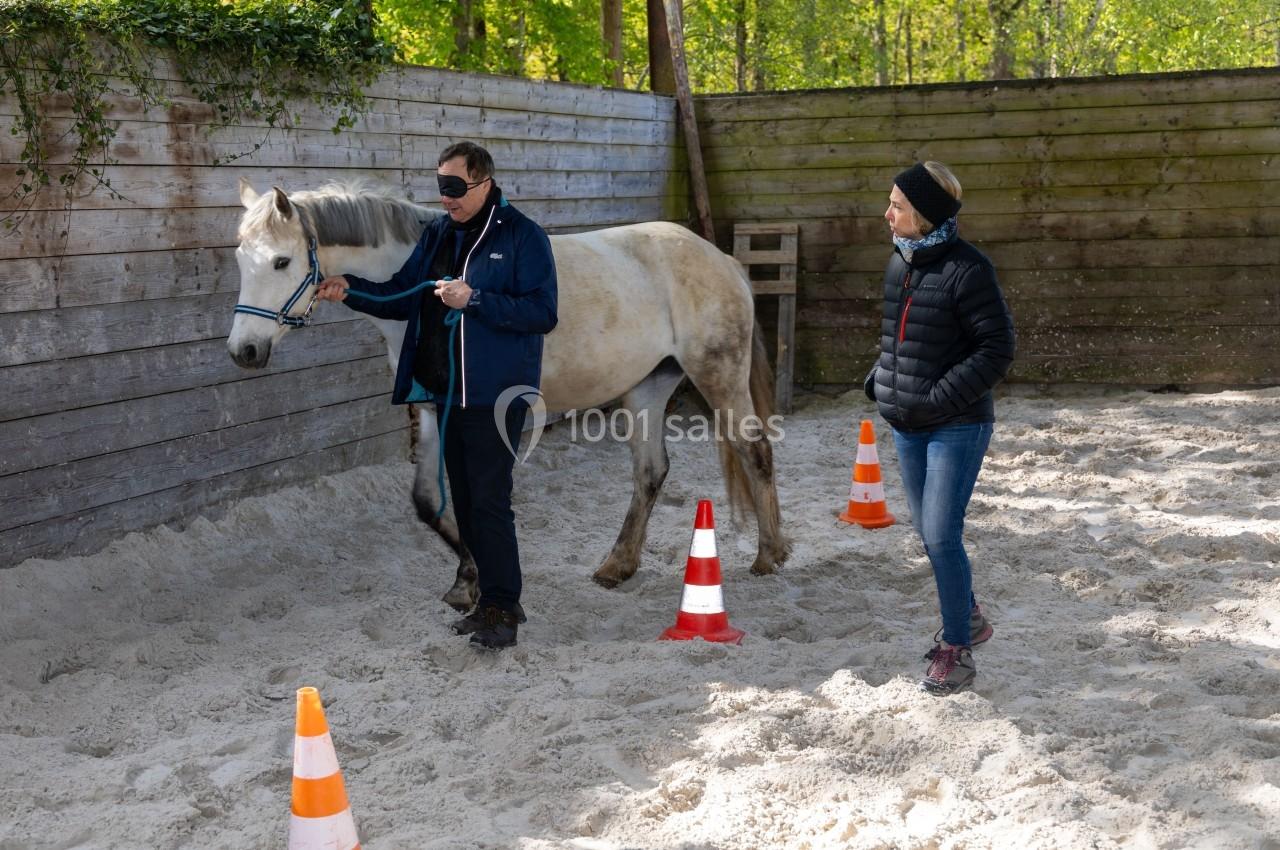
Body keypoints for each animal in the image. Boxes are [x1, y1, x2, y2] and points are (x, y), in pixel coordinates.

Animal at [227, 180, 789, 611]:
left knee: (755, 450)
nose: (244, 350)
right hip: (647, 388)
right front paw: (465, 580)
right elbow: (429, 501)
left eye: (280, 262)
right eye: (241, 260)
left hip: (718, 374)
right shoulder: (432, 408)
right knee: (651, 472)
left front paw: (479, 581)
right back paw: (618, 565)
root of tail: (721, 259)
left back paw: (771, 555)